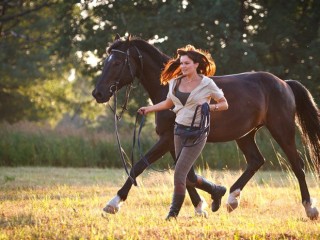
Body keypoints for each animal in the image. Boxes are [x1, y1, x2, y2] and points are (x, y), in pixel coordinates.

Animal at [91, 34, 318, 220]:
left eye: (117, 62)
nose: (98, 93)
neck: (167, 91)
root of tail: (284, 83)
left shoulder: (166, 139)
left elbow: (140, 166)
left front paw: (113, 204)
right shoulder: (174, 141)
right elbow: (186, 175)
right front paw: (203, 205)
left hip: (282, 130)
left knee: (297, 165)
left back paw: (310, 208)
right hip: (245, 135)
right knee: (256, 161)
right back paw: (232, 199)